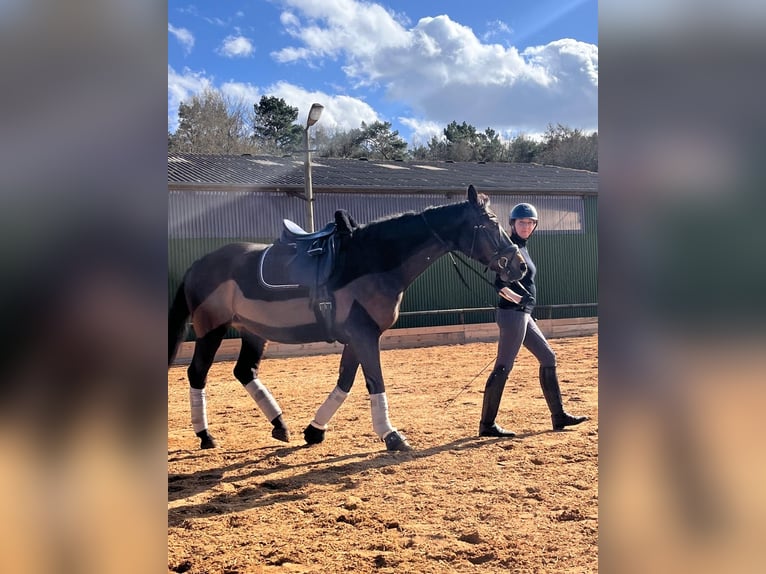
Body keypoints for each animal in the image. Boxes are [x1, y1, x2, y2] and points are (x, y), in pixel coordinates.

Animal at [168, 185, 527, 451]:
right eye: (490, 224)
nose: (520, 266)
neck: (374, 260)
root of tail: (198, 264)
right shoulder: (364, 334)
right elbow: (375, 382)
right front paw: (391, 435)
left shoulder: (358, 337)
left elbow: (345, 382)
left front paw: (314, 430)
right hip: (212, 330)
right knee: (197, 374)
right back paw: (205, 435)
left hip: (253, 331)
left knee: (244, 371)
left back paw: (280, 425)